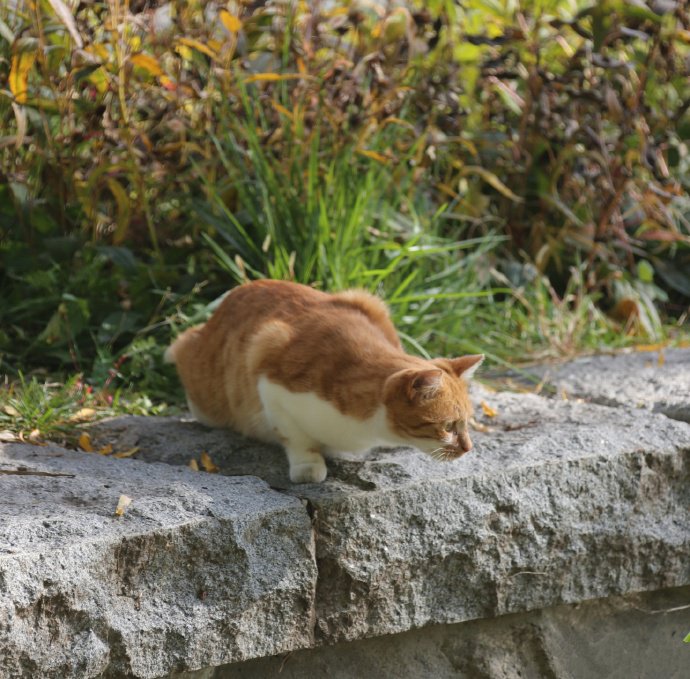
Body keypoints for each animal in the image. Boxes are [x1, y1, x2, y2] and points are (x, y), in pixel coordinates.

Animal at [164, 278, 482, 484]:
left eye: (467, 423)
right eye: (448, 426)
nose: (469, 448)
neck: (368, 427)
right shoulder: (268, 368)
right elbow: (296, 437)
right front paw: (309, 464)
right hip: (207, 396)